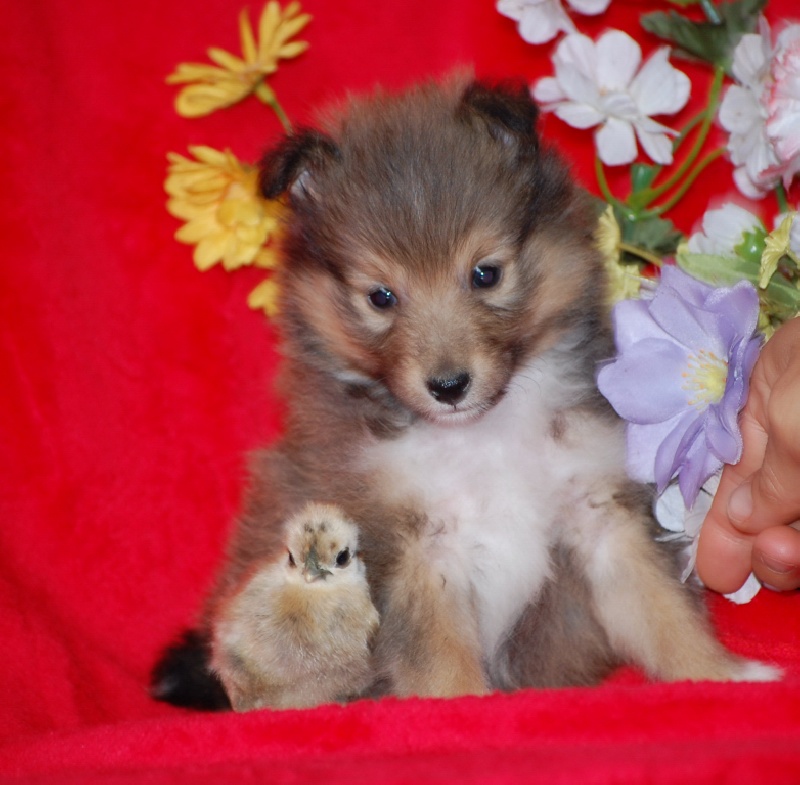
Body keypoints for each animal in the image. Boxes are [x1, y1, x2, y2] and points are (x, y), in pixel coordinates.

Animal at [152, 76, 778, 710]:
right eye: (380, 296)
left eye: (486, 273)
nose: (449, 386)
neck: (485, 434)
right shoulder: (414, 548)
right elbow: (441, 663)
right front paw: (462, 708)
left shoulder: (601, 513)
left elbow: (662, 610)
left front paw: (722, 676)